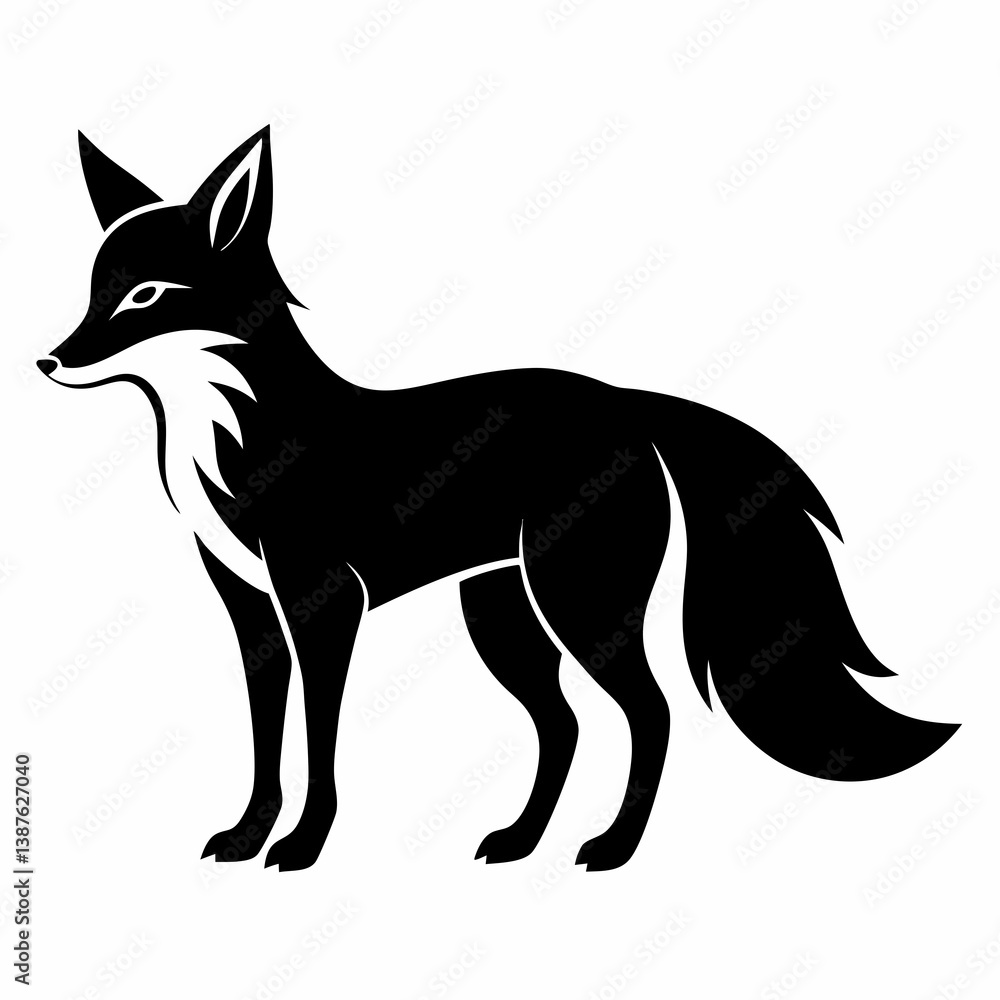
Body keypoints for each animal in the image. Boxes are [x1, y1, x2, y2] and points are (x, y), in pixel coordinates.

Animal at [39, 126, 959, 872]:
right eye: (93, 289)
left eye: (146, 295)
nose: (48, 362)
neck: (235, 434)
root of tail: (624, 400)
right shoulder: (249, 606)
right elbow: (269, 736)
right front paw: (247, 834)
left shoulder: (322, 604)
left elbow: (318, 738)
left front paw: (302, 845)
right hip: (503, 616)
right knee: (565, 726)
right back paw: (521, 840)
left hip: (578, 604)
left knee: (651, 713)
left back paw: (613, 848)